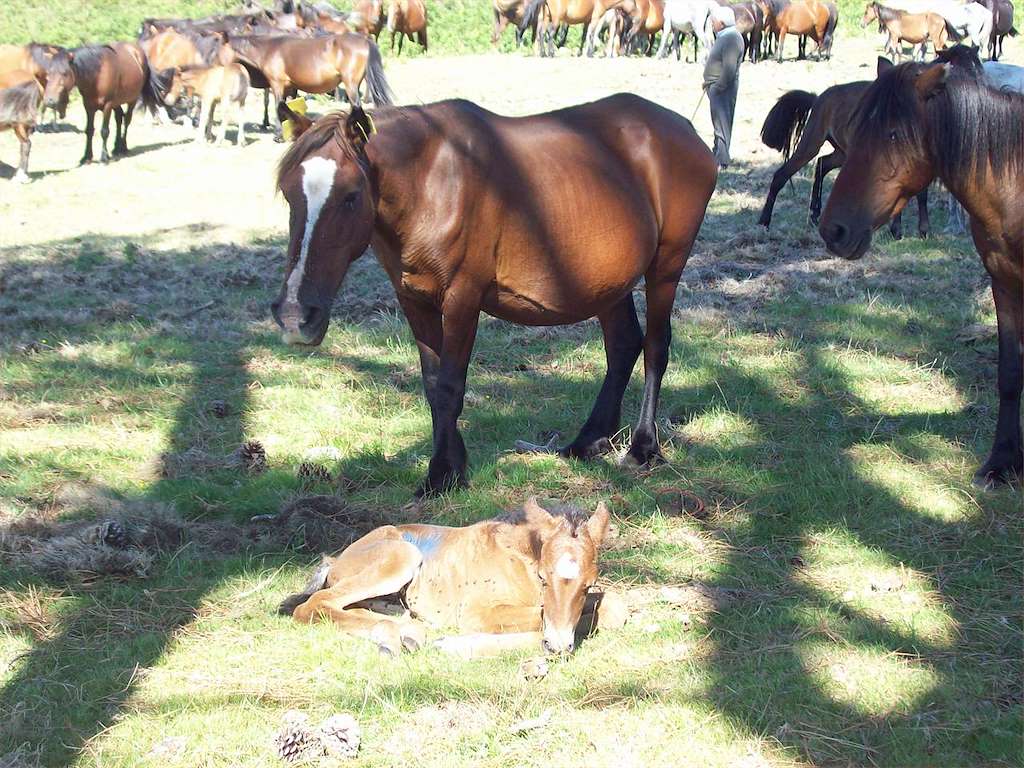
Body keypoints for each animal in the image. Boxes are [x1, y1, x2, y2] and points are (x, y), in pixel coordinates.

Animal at [272, 96, 720, 495]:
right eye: (288, 193)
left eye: (350, 195)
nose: (295, 315)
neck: (432, 182)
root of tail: (685, 130)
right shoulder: (414, 300)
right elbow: (433, 384)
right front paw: (454, 465)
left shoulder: (462, 300)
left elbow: (450, 386)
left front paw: (440, 474)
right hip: (608, 282)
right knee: (624, 344)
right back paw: (589, 440)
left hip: (665, 268)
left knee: (656, 346)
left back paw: (642, 447)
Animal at [278, 501, 622, 659]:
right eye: (543, 578)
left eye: (588, 584)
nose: (559, 646)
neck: (520, 558)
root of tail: (337, 559)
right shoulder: (478, 613)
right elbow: (539, 622)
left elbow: (612, 609)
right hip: (402, 556)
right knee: (314, 605)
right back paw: (399, 636)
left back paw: (404, 631)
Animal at [757, 70, 933, 237]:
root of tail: (818, 98)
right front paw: (897, 231)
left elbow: (921, 194)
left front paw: (923, 231)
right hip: (811, 144)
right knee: (782, 175)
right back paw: (764, 222)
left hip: (842, 153)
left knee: (822, 164)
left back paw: (814, 216)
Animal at [815, 49, 1024, 487]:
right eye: (856, 130)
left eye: (894, 134)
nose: (833, 230)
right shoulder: (1004, 283)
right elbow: (1011, 373)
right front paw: (1002, 461)